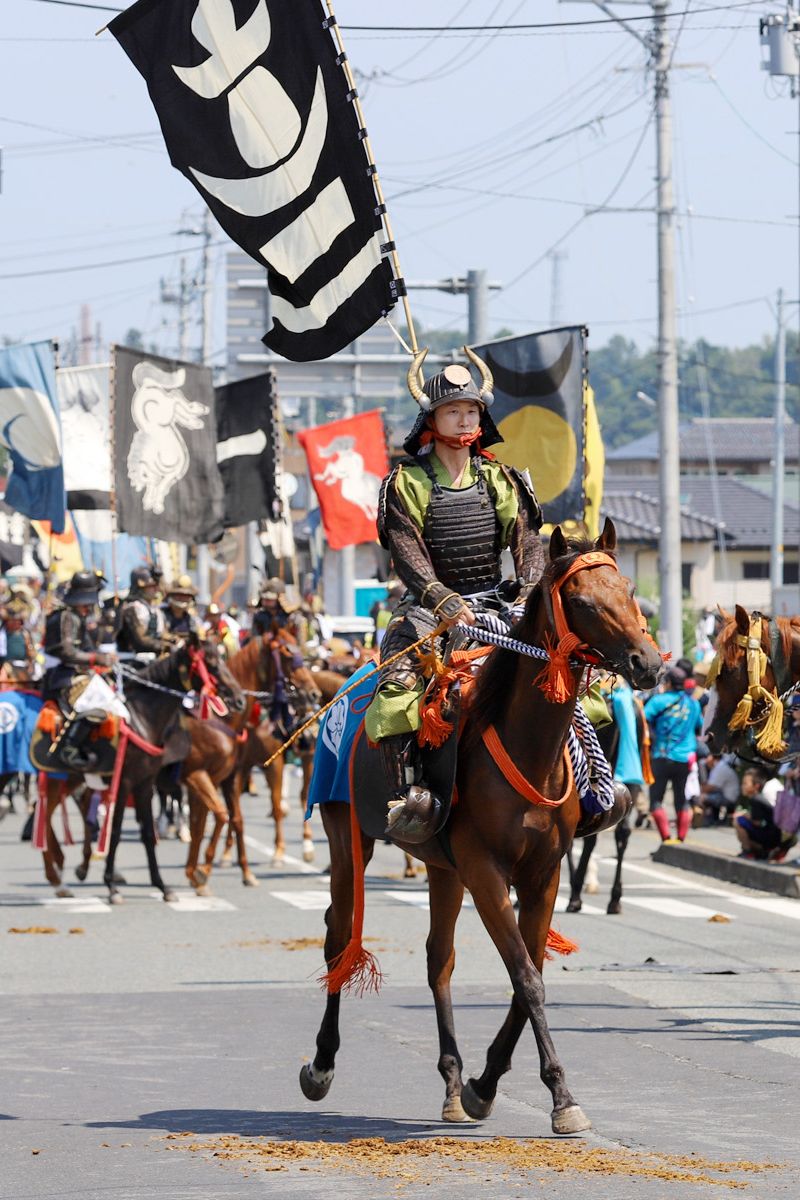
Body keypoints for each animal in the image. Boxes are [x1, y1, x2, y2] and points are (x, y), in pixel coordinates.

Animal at [297, 520, 662, 1128]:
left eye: (631, 591)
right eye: (583, 602)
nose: (649, 663)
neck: (526, 743)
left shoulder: (542, 873)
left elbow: (527, 973)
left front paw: (483, 1083)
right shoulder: (486, 870)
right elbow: (526, 977)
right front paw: (561, 1096)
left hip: (443, 868)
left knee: (438, 960)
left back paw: (451, 1082)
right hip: (347, 836)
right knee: (338, 935)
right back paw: (321, 1064)